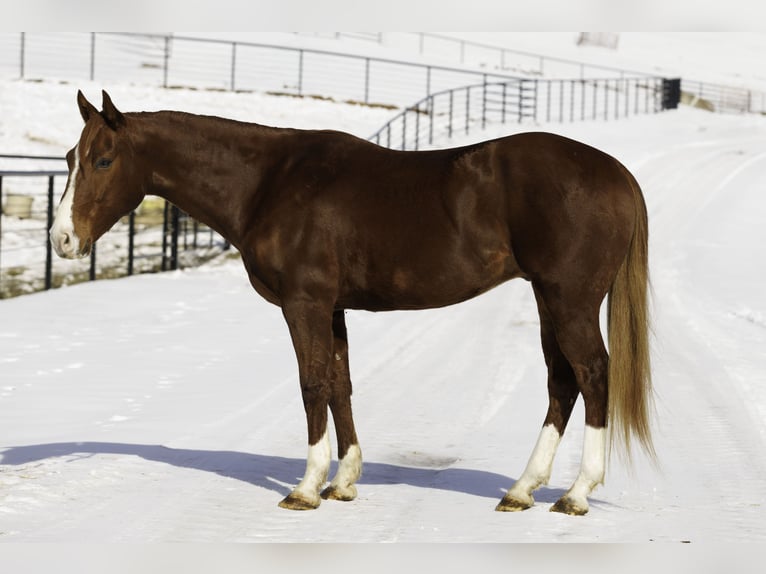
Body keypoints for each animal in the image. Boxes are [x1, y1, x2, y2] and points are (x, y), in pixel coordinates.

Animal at [49, 90, 653, 515]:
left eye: (103, 161)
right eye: (70, 157)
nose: (61, 240)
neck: (268, 183)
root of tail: (618, 173)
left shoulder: (305, 304)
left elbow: (312, 384)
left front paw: (306, 487)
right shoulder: (334, 308)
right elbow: (340, 384)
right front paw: (343, 483)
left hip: (569, 300)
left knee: (592, 374)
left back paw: (575, 494)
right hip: (548, 299)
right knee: (562, 381)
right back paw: (522, 490)